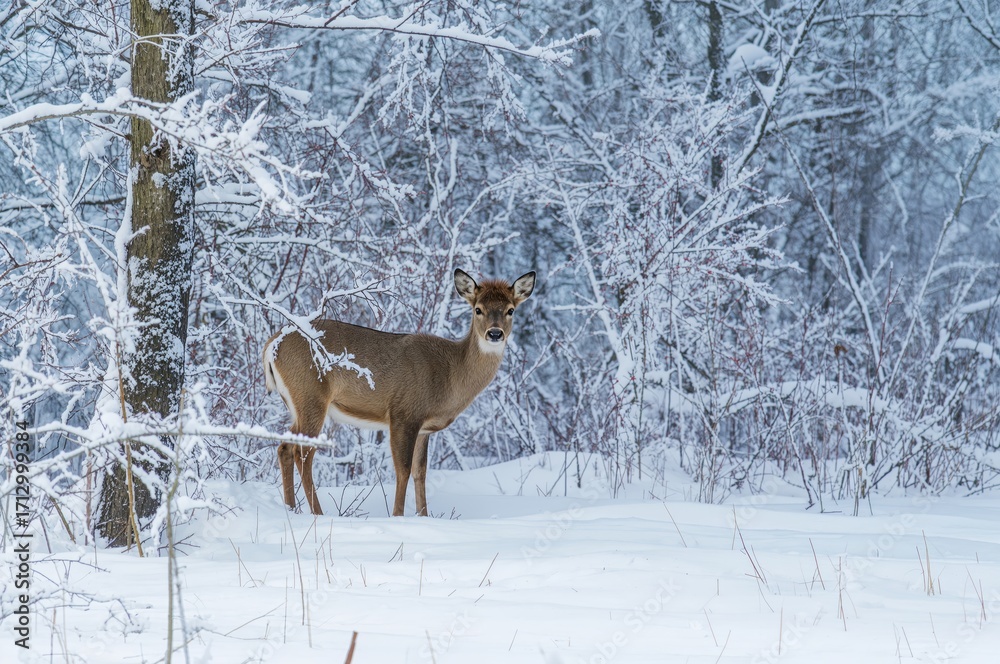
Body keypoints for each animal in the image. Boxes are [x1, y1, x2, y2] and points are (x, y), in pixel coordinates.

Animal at [263, 269, 535, 517]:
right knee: (303, 453)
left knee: (284, 447)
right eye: (478, 309)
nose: (495, 333)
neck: (450, 373)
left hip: (297, 404)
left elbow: (420, 472)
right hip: (310, 396)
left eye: (510, 310)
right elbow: (403, 469)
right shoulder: (404, 413)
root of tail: (271, 345)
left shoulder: (425, 428)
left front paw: (424, 517)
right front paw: (398, 516)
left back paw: (291, 509)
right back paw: (317, 513)